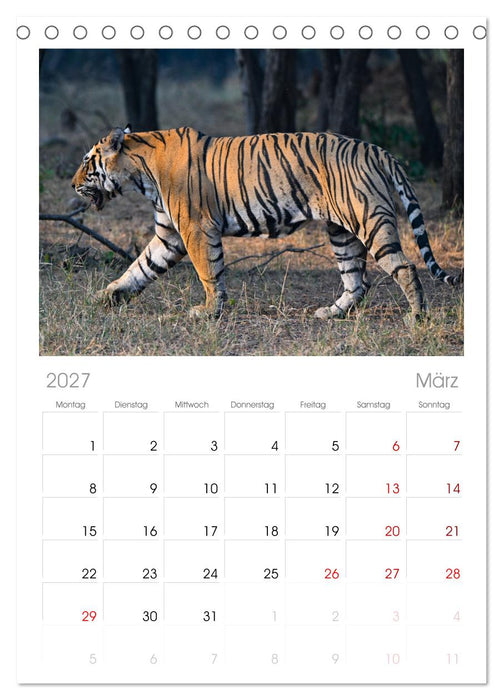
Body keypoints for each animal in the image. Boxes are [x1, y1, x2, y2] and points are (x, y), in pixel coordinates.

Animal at [71, 125, 462, 321]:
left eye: (88, 161)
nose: (72, 184)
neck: (140, 172)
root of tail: (376, 149)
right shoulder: (170, 234)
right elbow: (139, 267)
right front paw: (107, 296)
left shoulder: (195, 229)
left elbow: (208, 272)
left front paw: (208, 311)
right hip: (342, 231)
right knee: (356, 280)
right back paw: (330, 313)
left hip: (369, 221)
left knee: (405, 267)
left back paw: (417, 317)